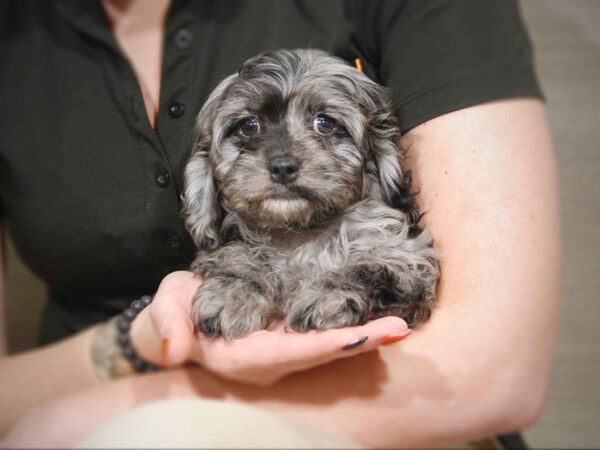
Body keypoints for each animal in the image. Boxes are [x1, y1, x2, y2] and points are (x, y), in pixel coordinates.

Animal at [180, 49, 438, 340]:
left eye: (324, 123)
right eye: (248, 126)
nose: (283, 167)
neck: (301, 233)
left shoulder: (412, 265)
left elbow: (368, 268)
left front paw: (328, 294)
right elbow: (236, 253)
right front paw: (235, 291)